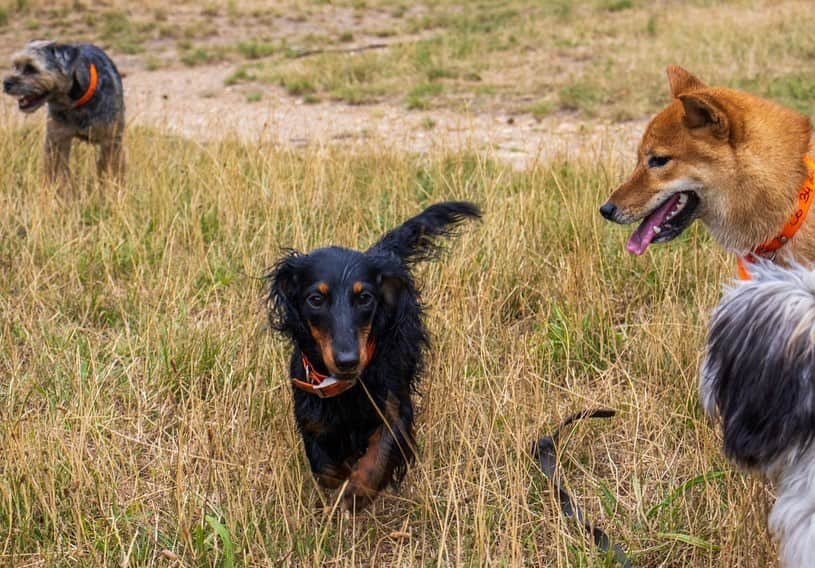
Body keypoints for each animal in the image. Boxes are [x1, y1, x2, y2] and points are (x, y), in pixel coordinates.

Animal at [2, 41, 124, 184]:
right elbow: (57, 172)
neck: (76, 103)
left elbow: (111, 170)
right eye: (16, 66)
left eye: (31, 68)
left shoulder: (110, 141)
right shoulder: (57, 140)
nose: (5, 83)